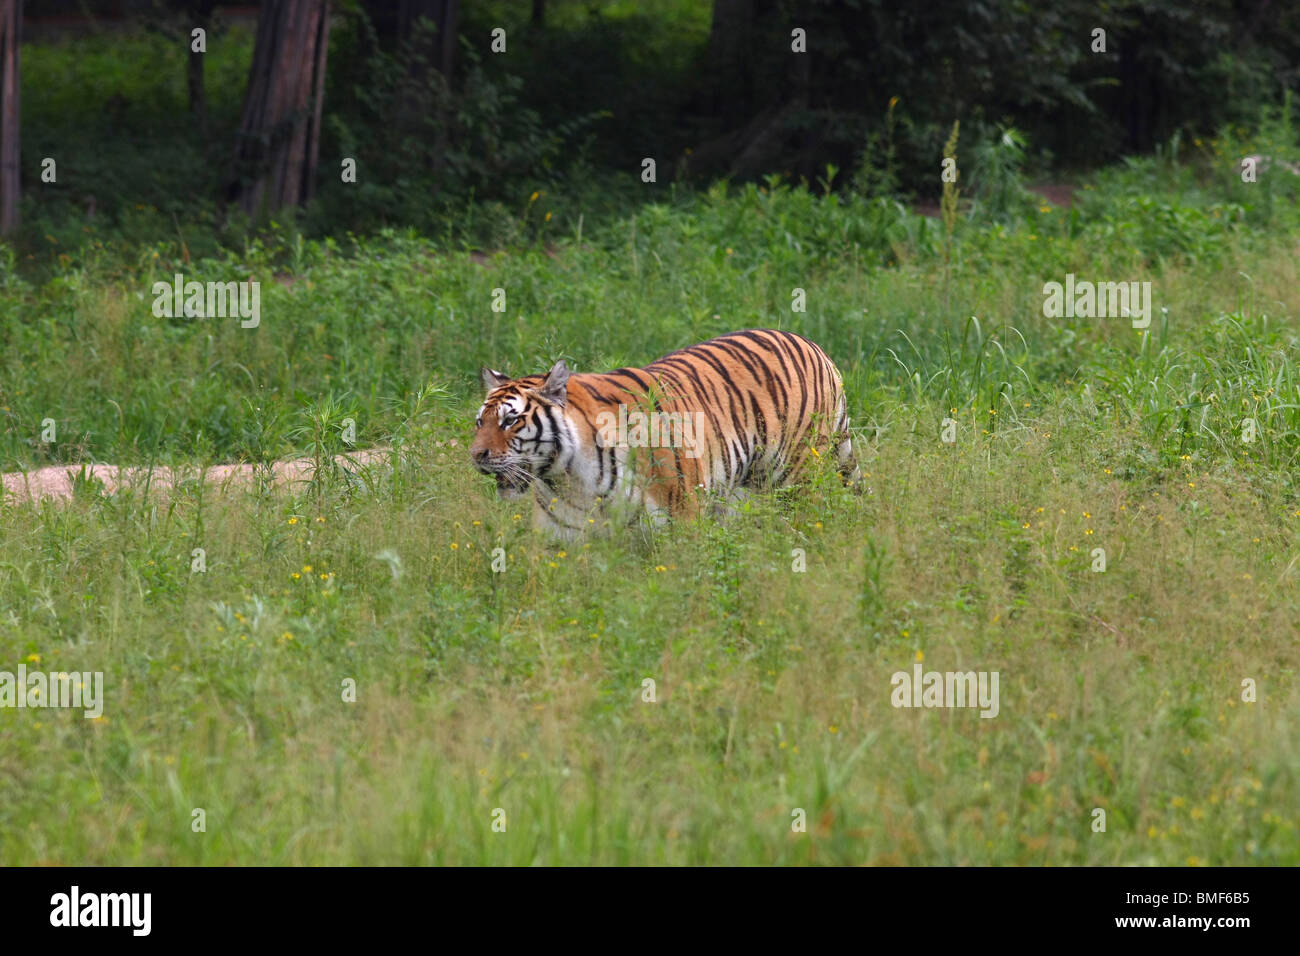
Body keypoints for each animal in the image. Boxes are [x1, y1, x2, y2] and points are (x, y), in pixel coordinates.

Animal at [470, 329, 863, 538]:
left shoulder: (681, 519)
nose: (476, 455)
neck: (570, 477)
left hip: (797, 477)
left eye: (510, 421)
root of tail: (812, 345)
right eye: (480, 423)